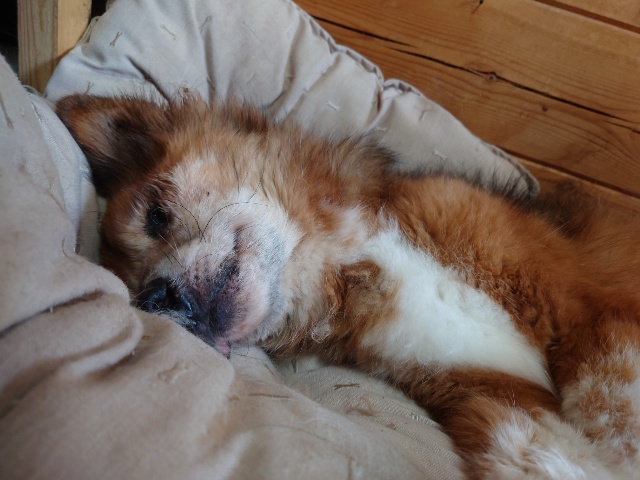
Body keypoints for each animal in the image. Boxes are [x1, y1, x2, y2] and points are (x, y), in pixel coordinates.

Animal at [57, 93, 640, 479]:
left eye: (155, 217)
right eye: (135, 291)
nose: (155, 297)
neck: (358, 265)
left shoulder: (590, 300)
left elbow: (611, 394)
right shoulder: (496, 397)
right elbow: (538, 451)